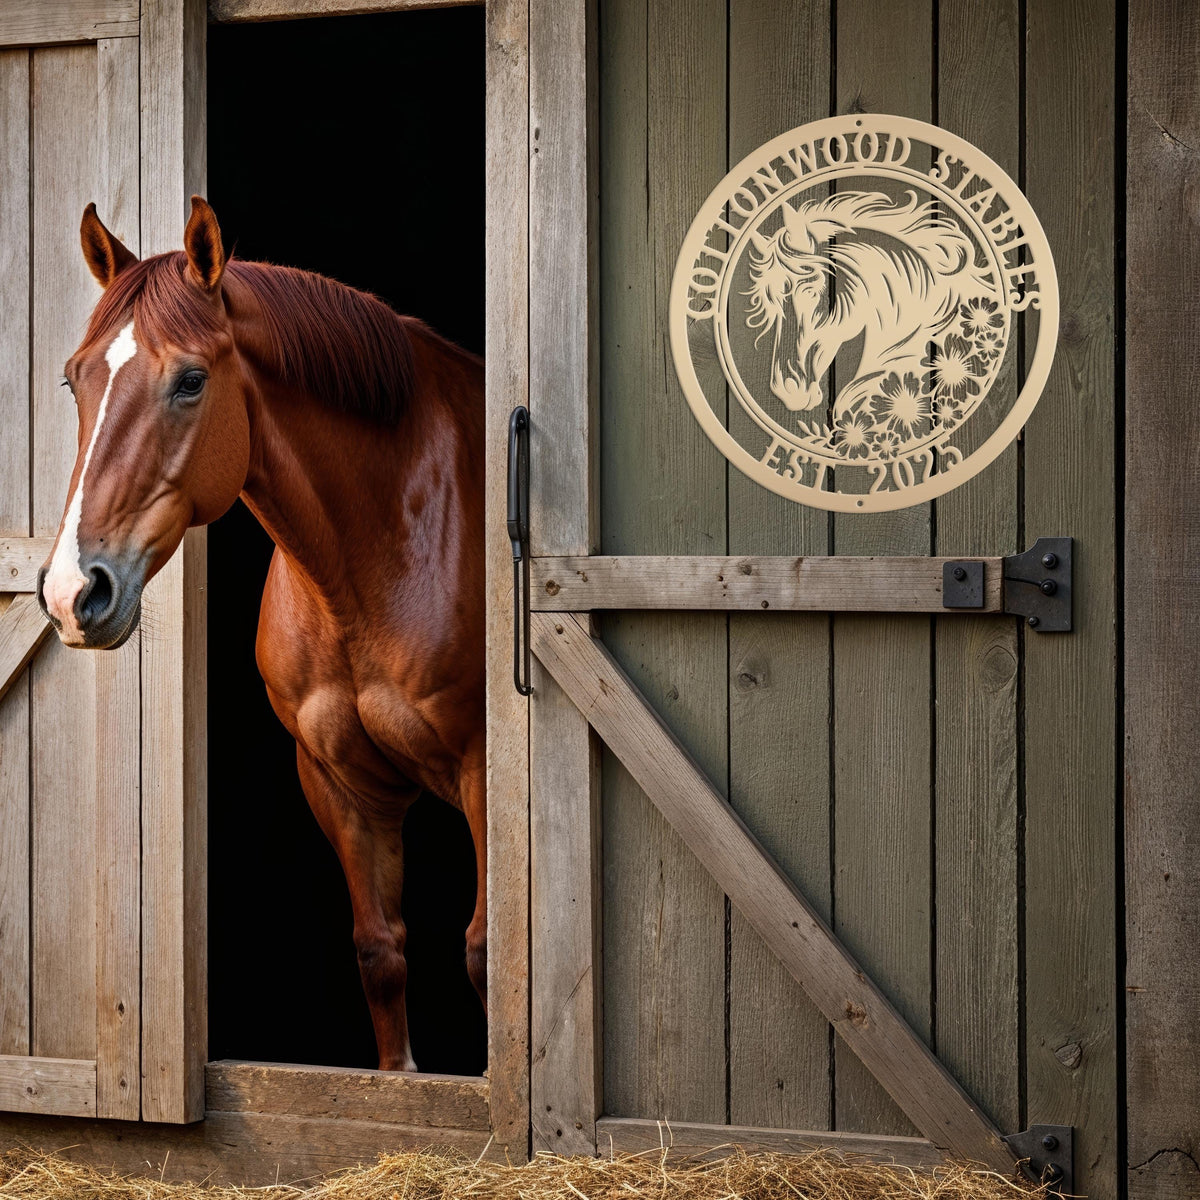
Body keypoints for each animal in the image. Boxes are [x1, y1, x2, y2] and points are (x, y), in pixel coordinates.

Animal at [37, 196, 486, 1073]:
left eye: (190, 380)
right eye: (76, 377)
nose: (74, 593)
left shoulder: (491, 769)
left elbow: (492, 955)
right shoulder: (337, 781)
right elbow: (380, 952)